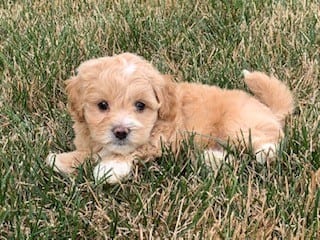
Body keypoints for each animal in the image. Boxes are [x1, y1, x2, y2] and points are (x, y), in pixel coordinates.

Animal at [45, 52, 296, 184]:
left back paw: (265, 153)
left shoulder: (161, 139)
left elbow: (132, 150)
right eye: (102, 105)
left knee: (269, 139)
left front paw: (111, 168)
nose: (121, 132)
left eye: (140, 105)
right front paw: (62, 160)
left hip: (237, 125)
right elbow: (88, 153)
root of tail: (268, 109)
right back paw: (212, 158)